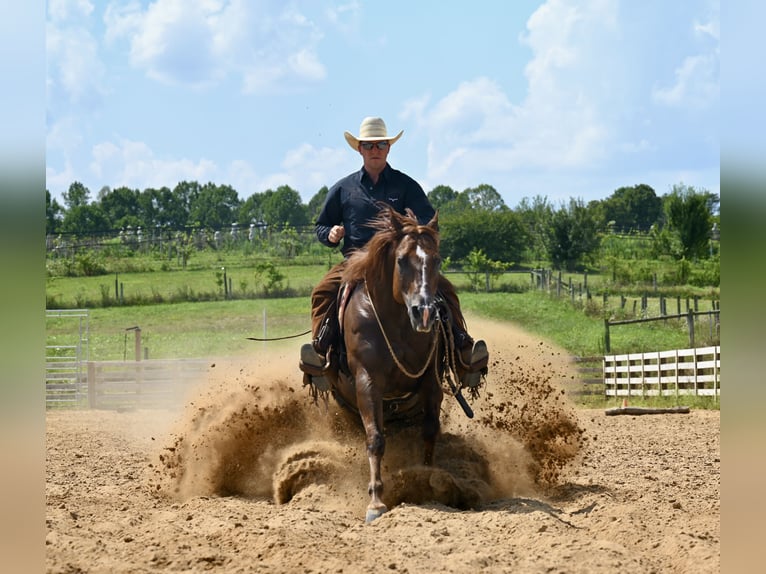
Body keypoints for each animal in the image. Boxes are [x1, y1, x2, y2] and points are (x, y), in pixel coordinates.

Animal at [322, 206, 471, 522]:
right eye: (401, 260)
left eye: (437, 259)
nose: (424, 313)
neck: (395, 325)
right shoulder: (367, 382)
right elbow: (375, 439)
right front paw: (376, 502)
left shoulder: (431, 382)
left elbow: (430, 430)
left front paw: (426, 481)